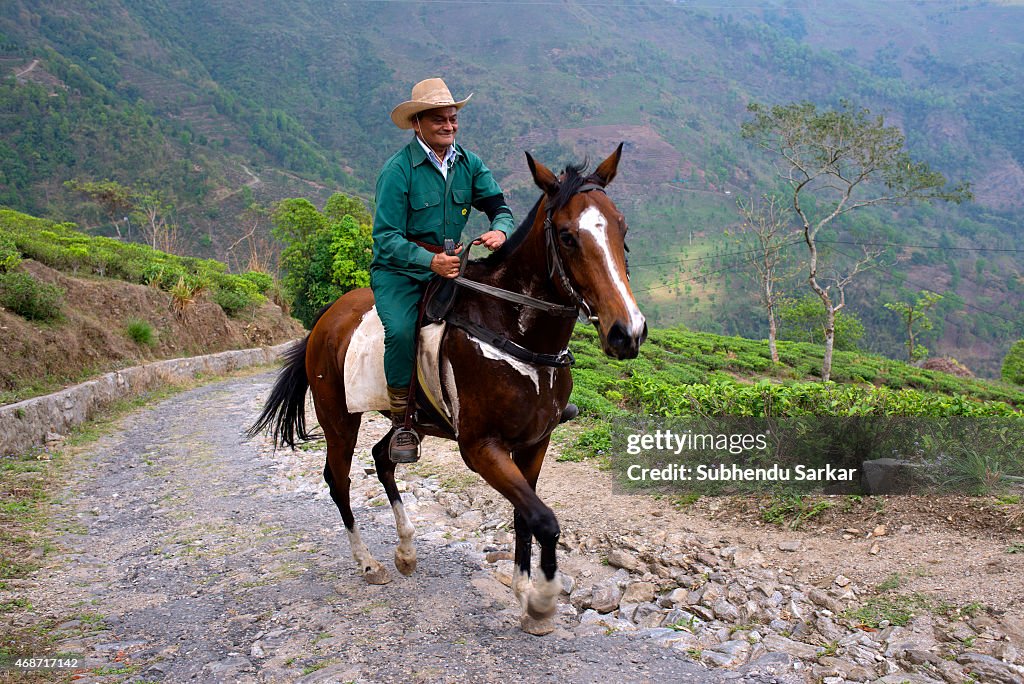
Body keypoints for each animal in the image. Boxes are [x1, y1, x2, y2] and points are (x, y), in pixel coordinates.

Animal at [248, 145, 643, 634]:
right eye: (568, 236)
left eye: (622, 227)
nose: (627, 332)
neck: (514, 330)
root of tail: (325, 320)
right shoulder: (480, 447)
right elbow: (544, 519)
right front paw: (541, 601)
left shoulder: (536, 441)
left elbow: (525, 515)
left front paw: (522, 588)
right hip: (338, 417)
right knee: (338, 481)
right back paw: (369, 564)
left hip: (407, 420)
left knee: (383, 458)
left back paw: (406, 551)